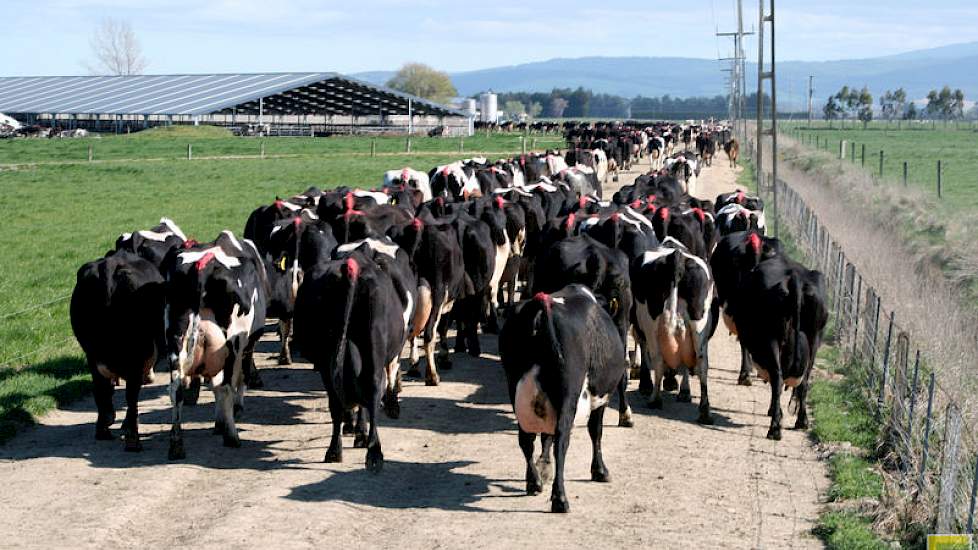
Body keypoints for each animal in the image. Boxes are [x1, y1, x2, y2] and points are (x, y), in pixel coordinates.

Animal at [69, 252, 165, 450]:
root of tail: (111, 264)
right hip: (135, 356)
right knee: (131, 396)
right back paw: (132, 438)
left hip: (92, 354)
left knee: (101, 390)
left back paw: (103, 430)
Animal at [296, 252, 406, 472]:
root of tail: (351, 267)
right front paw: (361, 434)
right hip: (373, 343)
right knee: (371, 388)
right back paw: (373, 451)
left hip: (328, 358)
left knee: (338, 401)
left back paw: (335, 451)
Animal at [500, 286, 628, 516]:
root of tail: (542, 303)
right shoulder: (600, 400)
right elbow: (596, 432)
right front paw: (600, 471)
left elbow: (545, 437)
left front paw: (544, 467)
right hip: (568, 394)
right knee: (561, 439)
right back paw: (560, 498)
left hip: (514, 387)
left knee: (526, 439)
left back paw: (534, 482)